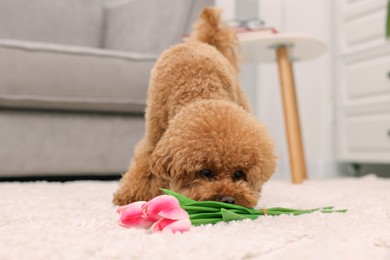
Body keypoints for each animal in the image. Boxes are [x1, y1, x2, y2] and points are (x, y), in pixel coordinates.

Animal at [112, 7, 278, 207]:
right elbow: (145, 168)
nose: (227, 199)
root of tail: (200, 42)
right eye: (205, 172)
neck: (200, 91)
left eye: (239, 174)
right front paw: (132, 197)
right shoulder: (153, 140)